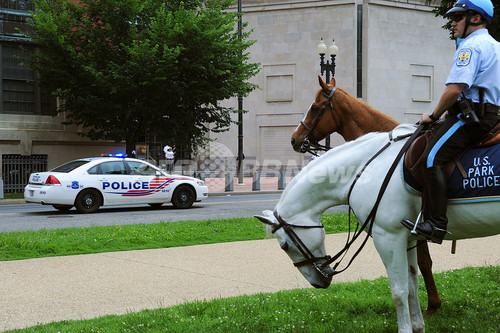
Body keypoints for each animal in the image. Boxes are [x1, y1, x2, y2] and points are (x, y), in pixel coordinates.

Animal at [258, 124, 500, 332]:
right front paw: (417, 326)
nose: (318, 282)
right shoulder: (408, 240)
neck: (365, 170)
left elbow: (399, 292)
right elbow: (412, 287)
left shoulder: (389, 238)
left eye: (284, 246)